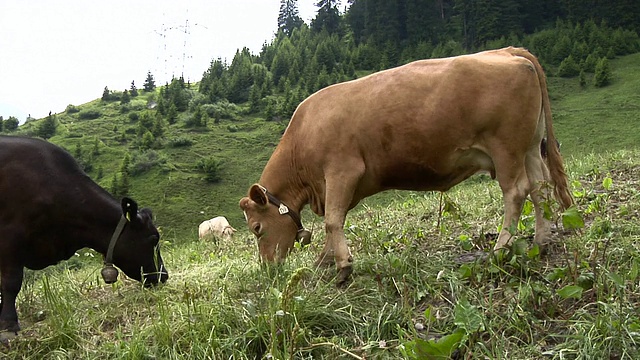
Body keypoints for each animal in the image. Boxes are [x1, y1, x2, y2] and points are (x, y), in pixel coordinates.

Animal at [241, 47, 576, 286]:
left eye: (257, 228)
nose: (268, 268)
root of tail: (508, 51)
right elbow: (335, 222)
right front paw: (324, 261)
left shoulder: (342, 171)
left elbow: (333, 221)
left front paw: (343, 266)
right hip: (530, 148)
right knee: (540, 189)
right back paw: (542, 240)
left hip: (505, 148)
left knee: (517, 192)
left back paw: (501, 248)